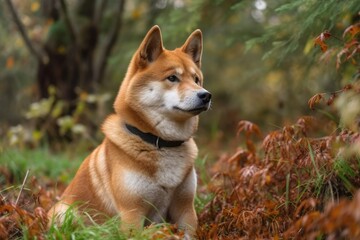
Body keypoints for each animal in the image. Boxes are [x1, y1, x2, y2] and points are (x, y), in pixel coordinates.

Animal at [47, 24, 211, 236]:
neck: (160, 142)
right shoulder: (132, 213)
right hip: (65, 212)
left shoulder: (185, 208)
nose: (206, 95)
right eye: (172, 78)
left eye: (196, 79)